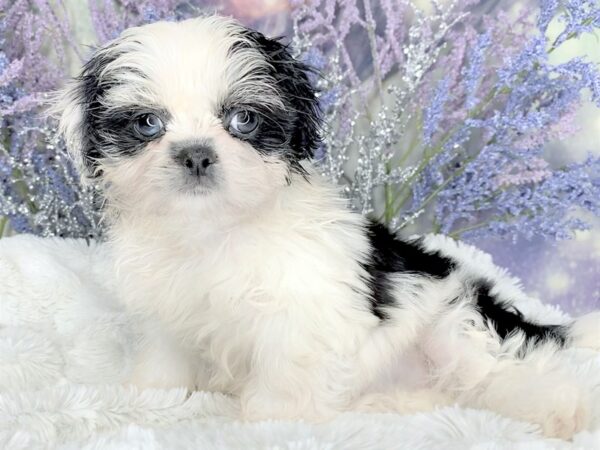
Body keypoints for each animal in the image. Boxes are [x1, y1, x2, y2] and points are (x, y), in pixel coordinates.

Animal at [54, 14, 596, 440]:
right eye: (147, 123)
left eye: (244, 119)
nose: (195, 154)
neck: (215, 227)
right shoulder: (169, 310)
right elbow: (167, 360)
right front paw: (151, 399)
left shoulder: (301, 313)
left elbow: (286, 373)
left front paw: (271, 425)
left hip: (454, 319)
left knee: (499, 368)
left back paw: (557, 410)